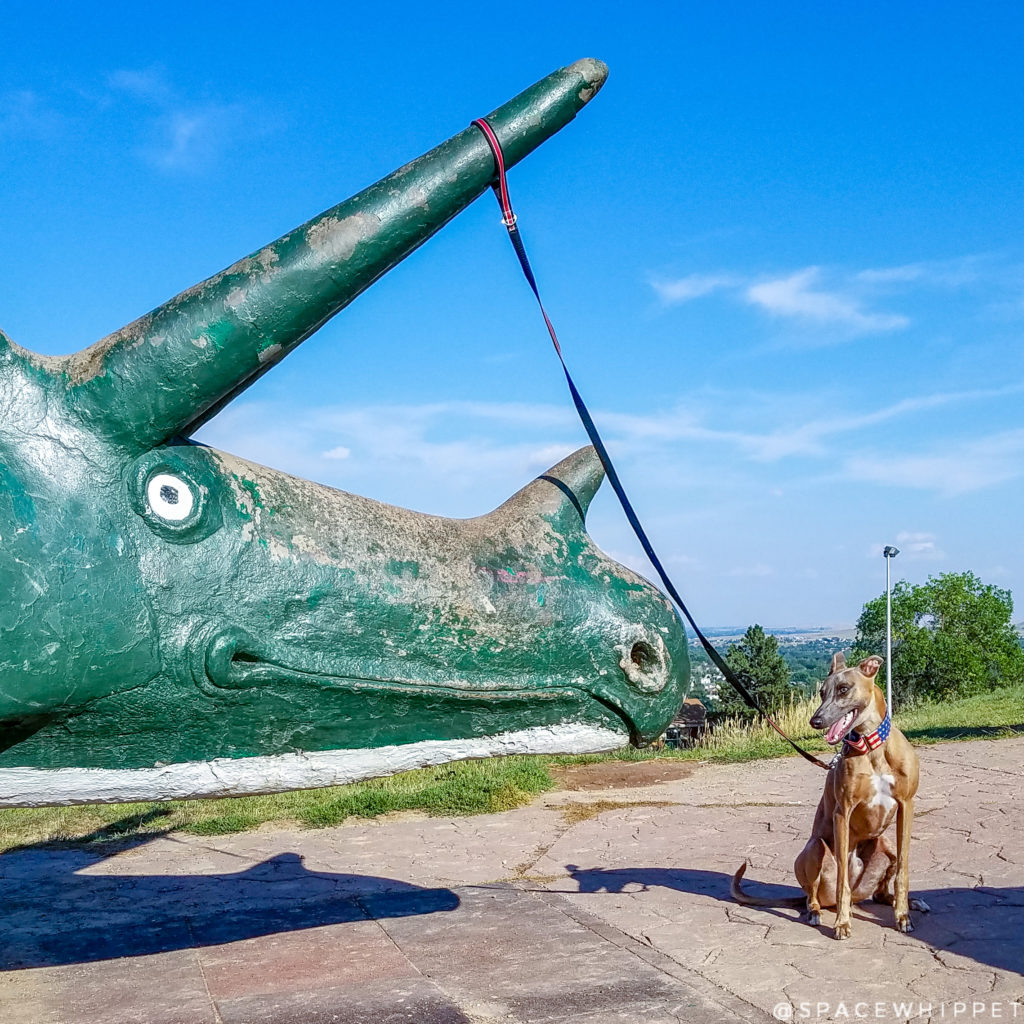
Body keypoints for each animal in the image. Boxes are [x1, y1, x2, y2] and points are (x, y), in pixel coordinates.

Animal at [729, 655, 929, 937]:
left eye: (844, 689)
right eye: (822, 692)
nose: (815, 721)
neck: (871, 748)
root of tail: (858, 895)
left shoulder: (906, 806)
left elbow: (903, 871)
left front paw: (902, 916)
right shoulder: (842, 813)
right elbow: (842, 878)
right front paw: (842, 923)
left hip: (885, 844)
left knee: (880, 894)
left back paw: (909, 902)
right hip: (815, 848)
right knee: (815, 896)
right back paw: (816, 912)